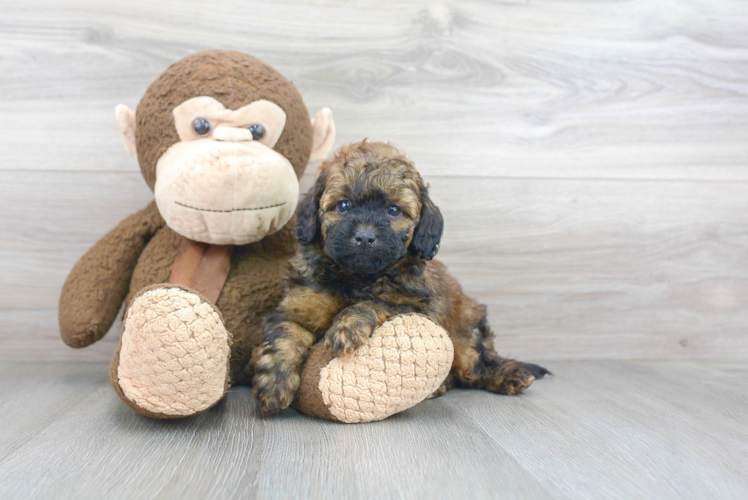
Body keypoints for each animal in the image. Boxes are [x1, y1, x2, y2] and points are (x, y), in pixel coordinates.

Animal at [253, 140, 548, 410]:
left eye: (393, 210)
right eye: (343, 205)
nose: (365, 236)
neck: (355, 277)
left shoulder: (416, 306)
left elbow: (376, 302)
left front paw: (347, 325)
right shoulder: (298, 305)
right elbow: (286, 333)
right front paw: (274, 383)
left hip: (466, 332)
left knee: (477, 366)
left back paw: (508, 375)